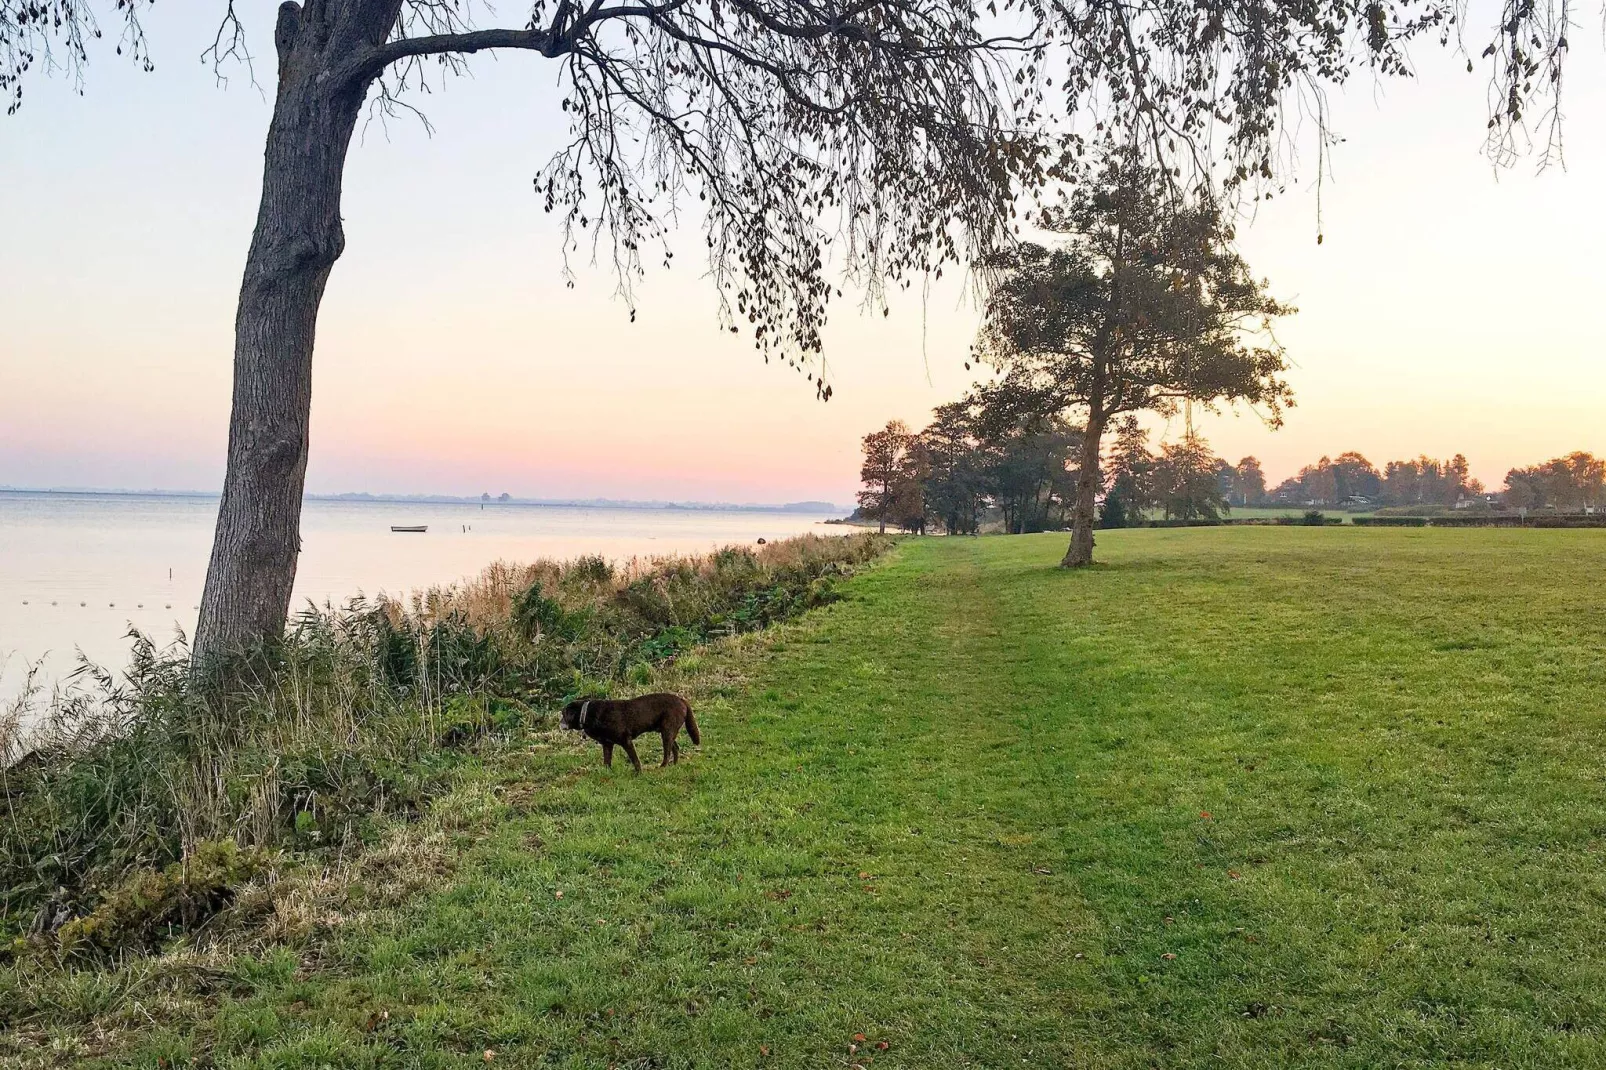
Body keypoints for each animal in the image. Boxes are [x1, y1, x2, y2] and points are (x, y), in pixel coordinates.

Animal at [562, 690, 700, 767]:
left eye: (563, 714)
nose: (560, 722)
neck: (586, 713)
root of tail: (681, 699)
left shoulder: (625, 741)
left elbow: (635, 760)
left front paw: (638, 773)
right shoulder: (607, 744)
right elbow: (607, 760)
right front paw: (606, 773)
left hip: (667, 731)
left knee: (668, 751)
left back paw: (663, 766)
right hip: (666, 731)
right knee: (675, 747)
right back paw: (674, 765)